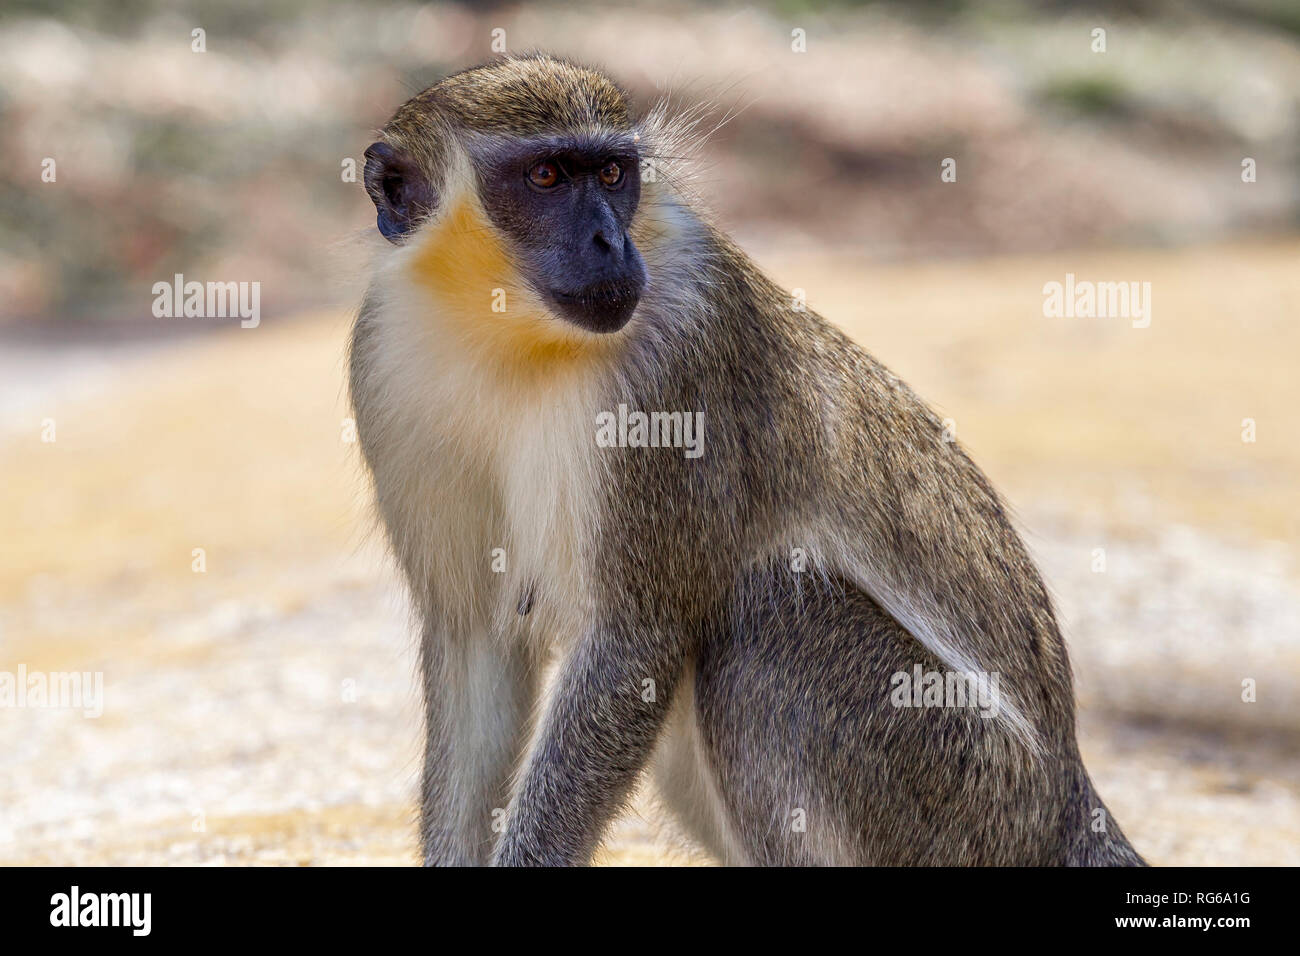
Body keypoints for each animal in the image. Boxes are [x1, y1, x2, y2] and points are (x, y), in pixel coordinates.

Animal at [351, 54, 1144, 868]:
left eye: (611, 173)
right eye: (545, 176)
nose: (609, 243)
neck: (509, 333)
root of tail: (1069, 800)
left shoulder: (671, 368)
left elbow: (630, 648)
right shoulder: (384, 361)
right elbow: (475, 640)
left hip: (972, 798)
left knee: (769, 612)